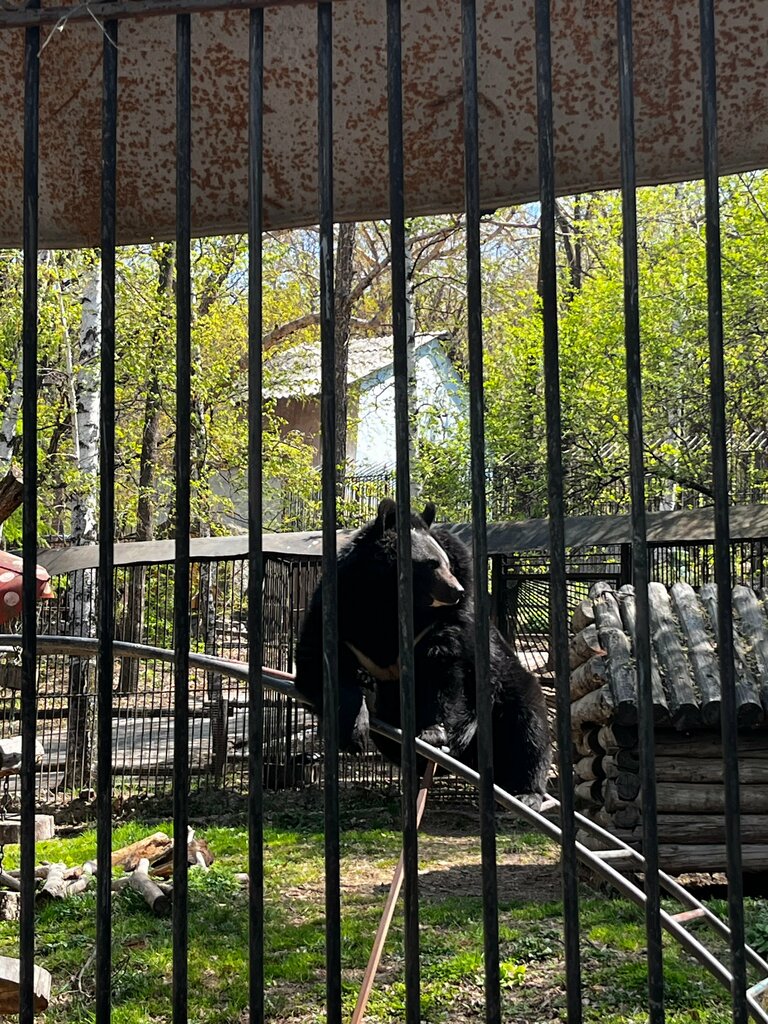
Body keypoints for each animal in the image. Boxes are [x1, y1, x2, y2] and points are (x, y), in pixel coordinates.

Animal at [294, 499, 552, 802]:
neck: (387, 601)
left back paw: (527, 792)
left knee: (527, 729)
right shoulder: (338, 610)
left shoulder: (438, 626)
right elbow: (317, 663)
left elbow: (441, 671)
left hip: (506, 687)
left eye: (448, 564)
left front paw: (432, 733)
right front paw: (353, 732)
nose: (456, 591)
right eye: (431, 564)